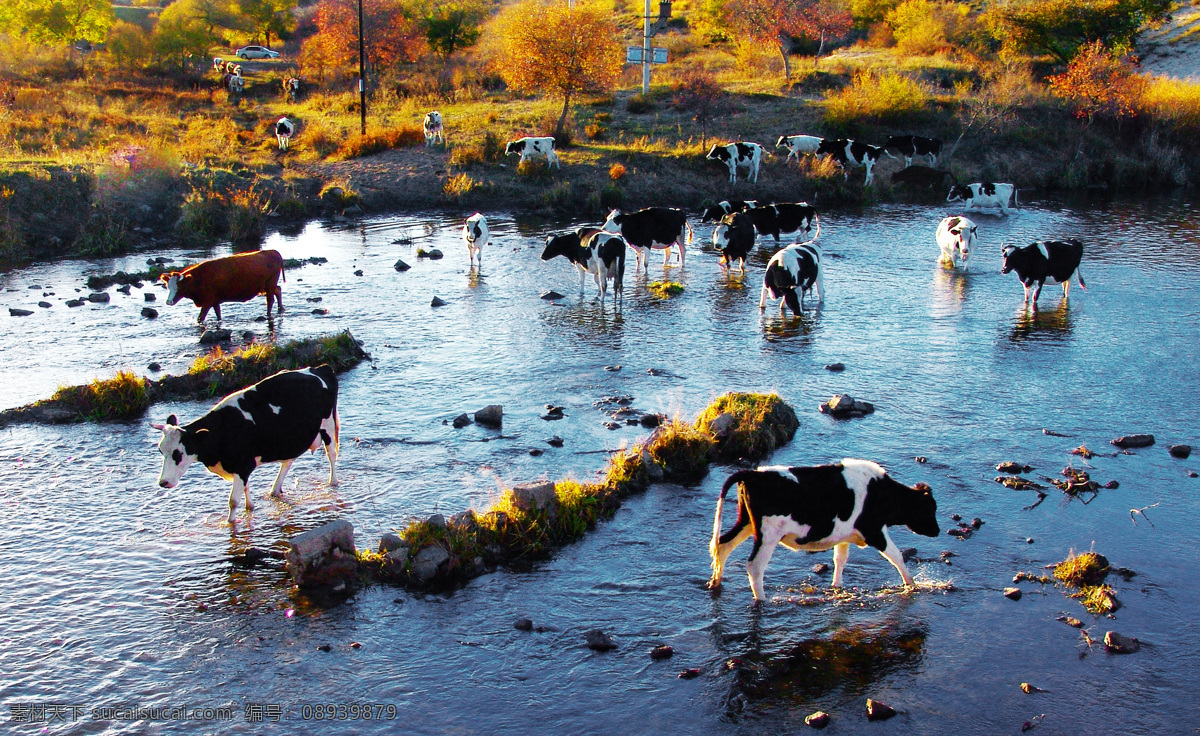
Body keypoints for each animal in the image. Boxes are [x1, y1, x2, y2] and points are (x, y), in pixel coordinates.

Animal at [150, 364, 340, 525]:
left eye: (178, 453)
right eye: (160, 451)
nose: (163, 482)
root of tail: (319, 368)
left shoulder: (242, 465)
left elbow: (233, 501)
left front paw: (230, 524)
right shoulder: (241, 466)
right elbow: (246, 489)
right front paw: (250, 508)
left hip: (328, 426)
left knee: (331, 455)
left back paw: (333, 482)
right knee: (288, 461)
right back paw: (275, 490)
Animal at [705, 458, 940, 602]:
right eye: (931, 509)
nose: (937, 531)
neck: (882, 492)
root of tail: (753, 474)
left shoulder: (845, 535)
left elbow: (840, 559)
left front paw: (837, 586)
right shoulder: (874, 531)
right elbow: (897, 556)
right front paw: (912, 585)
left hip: (746, 522)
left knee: (722, 544)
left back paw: (716, 582)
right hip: (768, 535)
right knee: (754, 566)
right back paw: (761, 599)